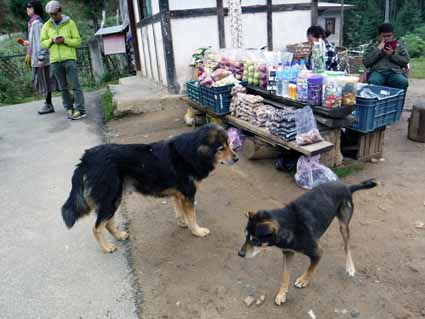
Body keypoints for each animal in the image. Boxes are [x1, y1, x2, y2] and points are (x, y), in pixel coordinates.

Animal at [62, 124, 238, 254]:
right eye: (221, 148)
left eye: (229, 144)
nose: (236, 158)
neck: (192, 151)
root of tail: (86, 159)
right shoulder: (188, 194)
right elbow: (192, 216)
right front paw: (197, 231)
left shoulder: (179, 194)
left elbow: (179, 211)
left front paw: (183, 223)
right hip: (111, 198)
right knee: (97, 228)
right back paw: (106, 248)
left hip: (113, 199)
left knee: (107, 223)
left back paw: (119, 235)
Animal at [238, 180, 378, 304]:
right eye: (245, 236)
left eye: (255, 240)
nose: (240, 254)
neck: (288, 226)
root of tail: (346, 186)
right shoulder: (288, 252)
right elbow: (285, 275)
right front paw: (282, 294)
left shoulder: (318, 252)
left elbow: (312, 267)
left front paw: (303, 280)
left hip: (343, 225)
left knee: (347, 245)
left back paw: (350, 267)